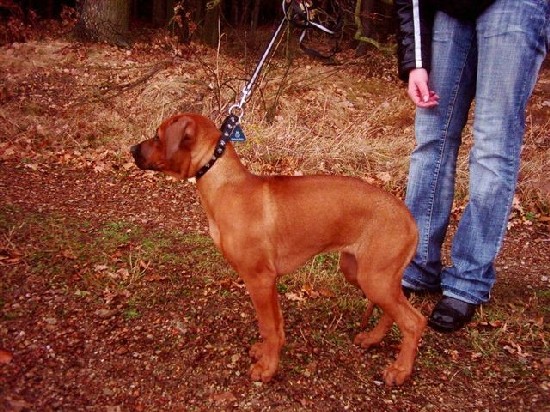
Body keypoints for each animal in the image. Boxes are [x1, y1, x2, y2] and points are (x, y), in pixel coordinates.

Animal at [130, 113, 426, 386]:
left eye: (157, 136)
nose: (132, 150)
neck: (226, 184)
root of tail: (410, 219)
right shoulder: (269, 280)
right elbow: (276, 325)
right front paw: (266, 353)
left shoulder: (258, 279)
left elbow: (268, 327)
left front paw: (267, 369)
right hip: (362, 273)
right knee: (396, 309)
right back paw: (374, 339)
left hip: (375, 278)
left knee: (414, 322)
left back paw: (400, 370)